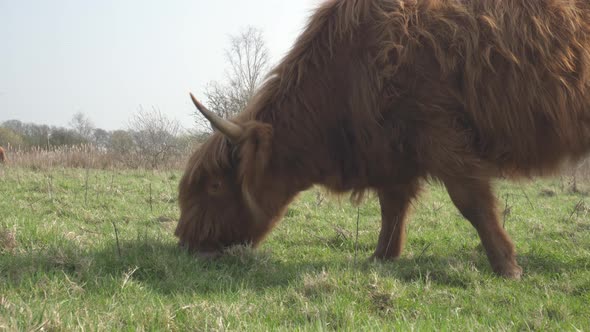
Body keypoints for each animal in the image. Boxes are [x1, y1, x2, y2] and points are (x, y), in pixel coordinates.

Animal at [177, 0, 590, 278]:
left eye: (215, 186)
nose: (184, 240)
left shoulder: (439, 132)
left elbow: (472, 202)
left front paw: (507, 266)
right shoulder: (391, 147)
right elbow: (392, 206)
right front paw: (381, 256)